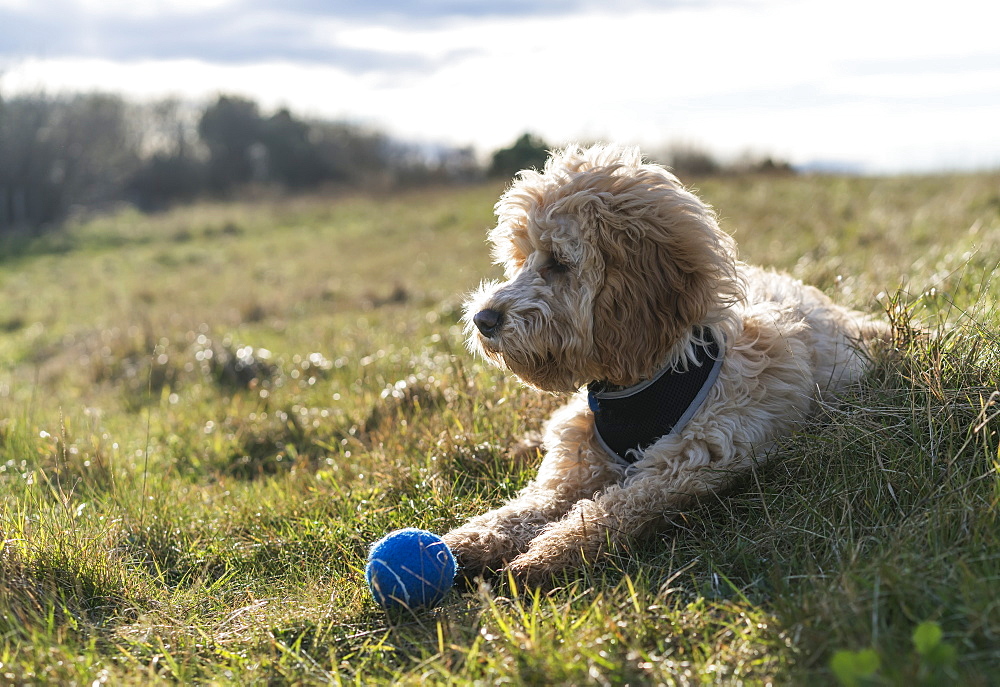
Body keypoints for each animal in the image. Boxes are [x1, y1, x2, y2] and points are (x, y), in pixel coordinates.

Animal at [442, 145, 888, 584]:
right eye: (521, 259)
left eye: (558, 262)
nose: (483, 319)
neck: (648, 376)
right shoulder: (578, 466)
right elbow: (531, 505)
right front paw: (468, 539)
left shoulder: (694, 462)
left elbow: (614, 508)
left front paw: (550, 552)